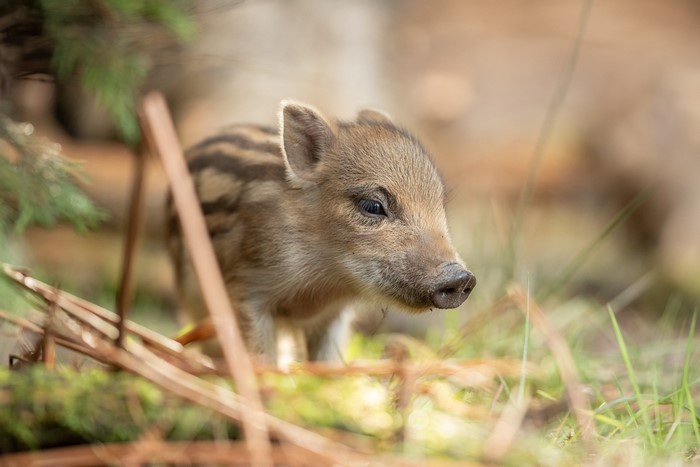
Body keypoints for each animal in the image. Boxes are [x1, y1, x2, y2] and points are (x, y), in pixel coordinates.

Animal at [167, 100, 475, 365]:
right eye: (372, 206)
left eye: (439, 203)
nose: (461, 278)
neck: (325, 276)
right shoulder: (246, 292)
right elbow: (260, 354)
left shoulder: (334, 316)